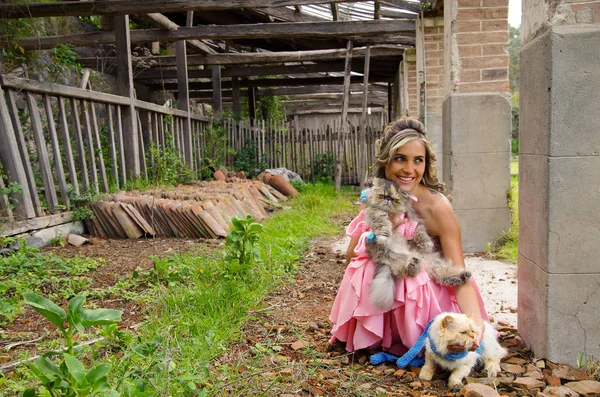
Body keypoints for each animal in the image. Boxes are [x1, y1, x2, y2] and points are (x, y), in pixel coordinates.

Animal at [364, 178, 472, 310]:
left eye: (395, 200)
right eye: (381, 196)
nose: (388, 199)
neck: (391, 214)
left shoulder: (414, 222)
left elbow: (420, 234)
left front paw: (426, 244)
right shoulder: (376, 214)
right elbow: (382, 224)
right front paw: (384, 238)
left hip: (434, 264)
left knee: (442, 275)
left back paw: (463, 275)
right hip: (395, 259)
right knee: (405, 271)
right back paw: (414, 264)